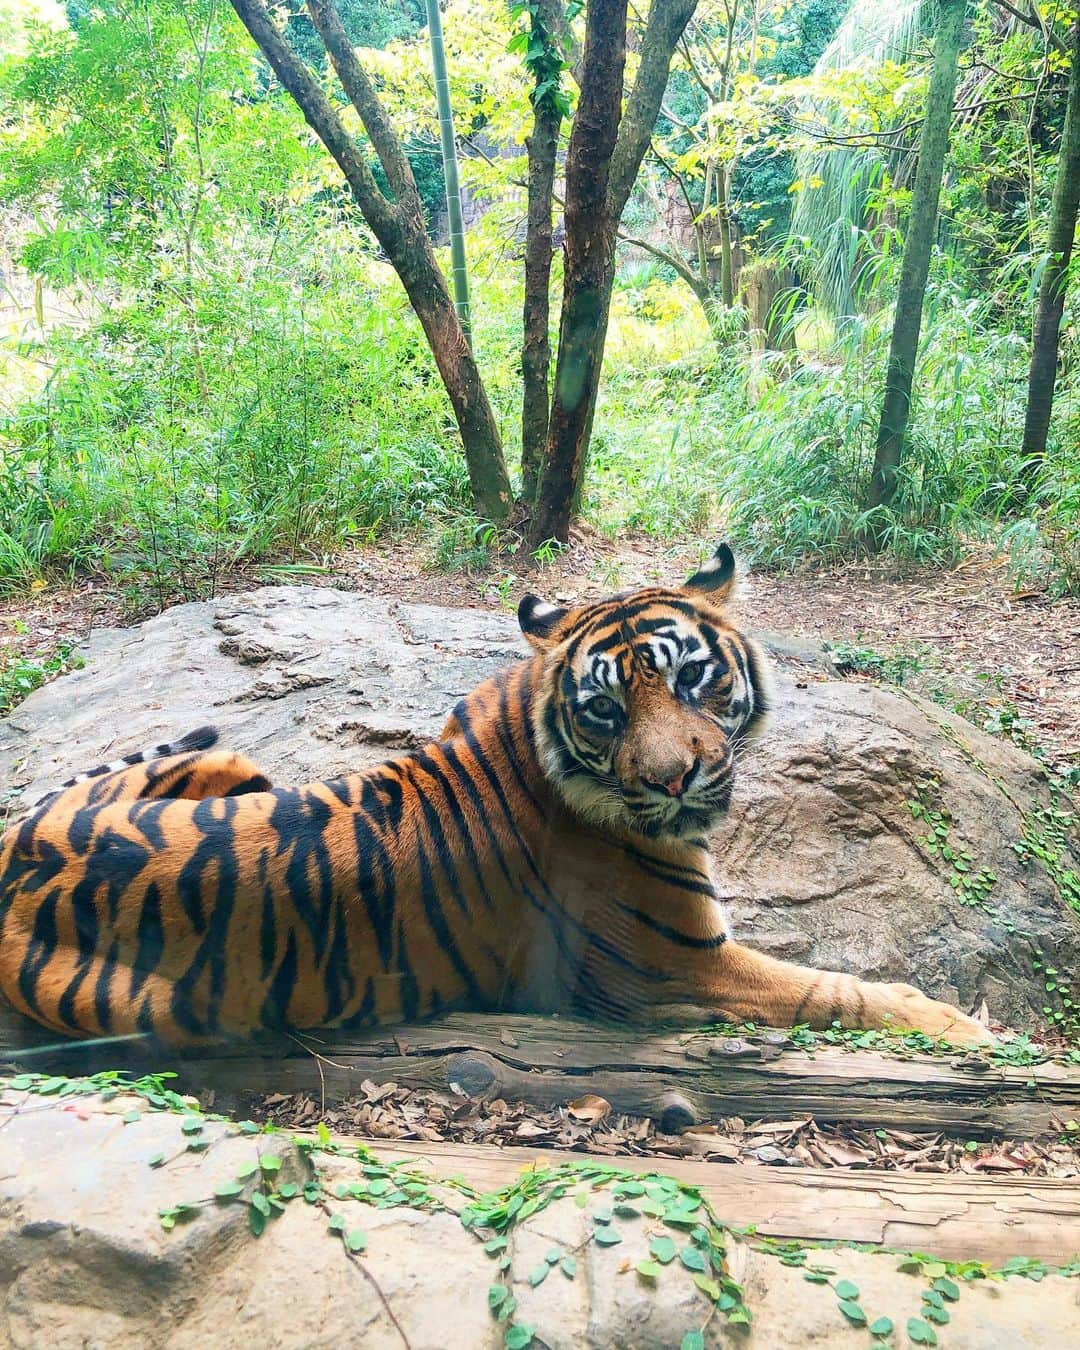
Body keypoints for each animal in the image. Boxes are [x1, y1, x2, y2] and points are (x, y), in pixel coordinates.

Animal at [0, 545, 988, 1042]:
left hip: (237, 768)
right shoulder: (682, 964)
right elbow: (835, 991)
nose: (671, 778)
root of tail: (17, 843)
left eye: (691, 676)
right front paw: (961, 1025)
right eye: (605, 708)